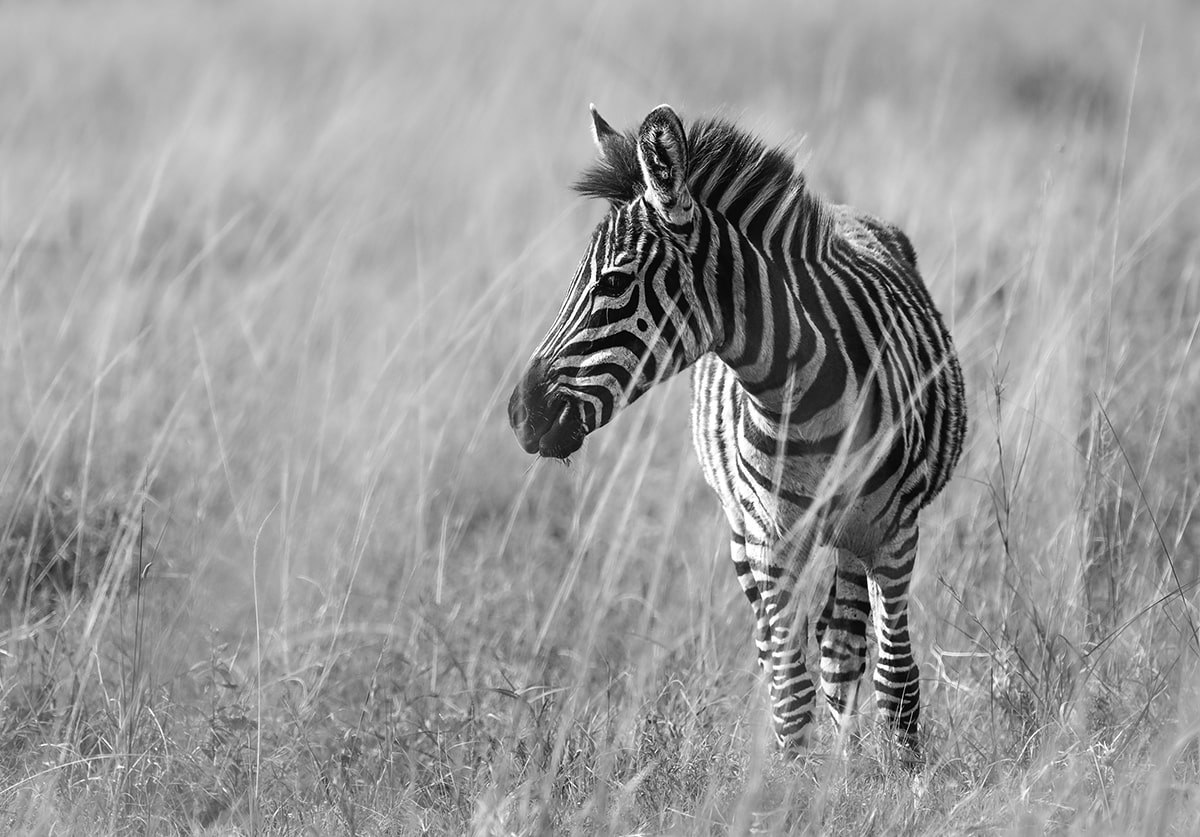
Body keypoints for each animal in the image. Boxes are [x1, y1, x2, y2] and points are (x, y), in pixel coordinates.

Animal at [506, 104, 964, 757]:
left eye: (614, 281)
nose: (521, 414)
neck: (799, 396)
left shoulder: (895, 535)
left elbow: (896, 681)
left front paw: (896, 777)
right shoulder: (769, 537)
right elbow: (791, 695)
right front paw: (795, 781)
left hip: (854, 536)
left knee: (841, 646)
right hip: (743, 532)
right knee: (787, 650)